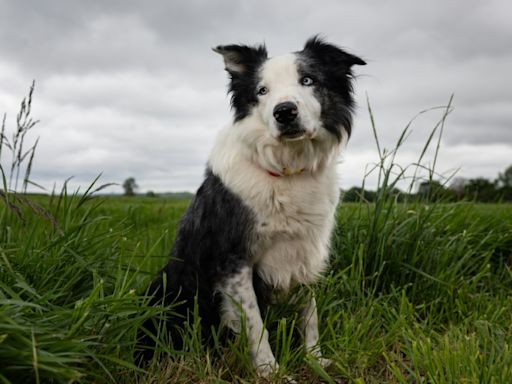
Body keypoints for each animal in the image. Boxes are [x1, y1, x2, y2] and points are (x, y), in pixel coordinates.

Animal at [138, 36, 366, 378]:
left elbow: (310, 314)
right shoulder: (233, 260)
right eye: (262, 90)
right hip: (163, 289)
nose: (284, 112)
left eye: (308, 80)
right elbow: (256, 325)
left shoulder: (305, 252)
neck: (287, 169)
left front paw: (315, 358)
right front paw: (271, 372)